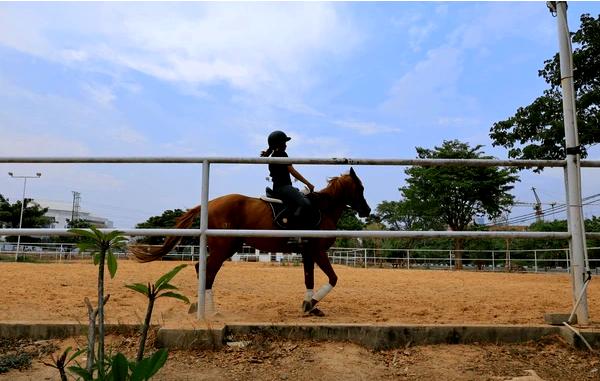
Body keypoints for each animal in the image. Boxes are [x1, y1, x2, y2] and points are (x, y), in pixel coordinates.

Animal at [130, 168, 370, 316]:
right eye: (360, 188)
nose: (366, 210)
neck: (323, 209)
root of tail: (210, 203)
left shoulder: (308, 253)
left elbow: (308, 279)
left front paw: (309, 306)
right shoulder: (318, 251)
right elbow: (333, 278)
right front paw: (312, 304)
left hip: (227, 247)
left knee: (203, 268)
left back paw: (199, 305)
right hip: (224, 247)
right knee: (208, 270)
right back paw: (211, 310)